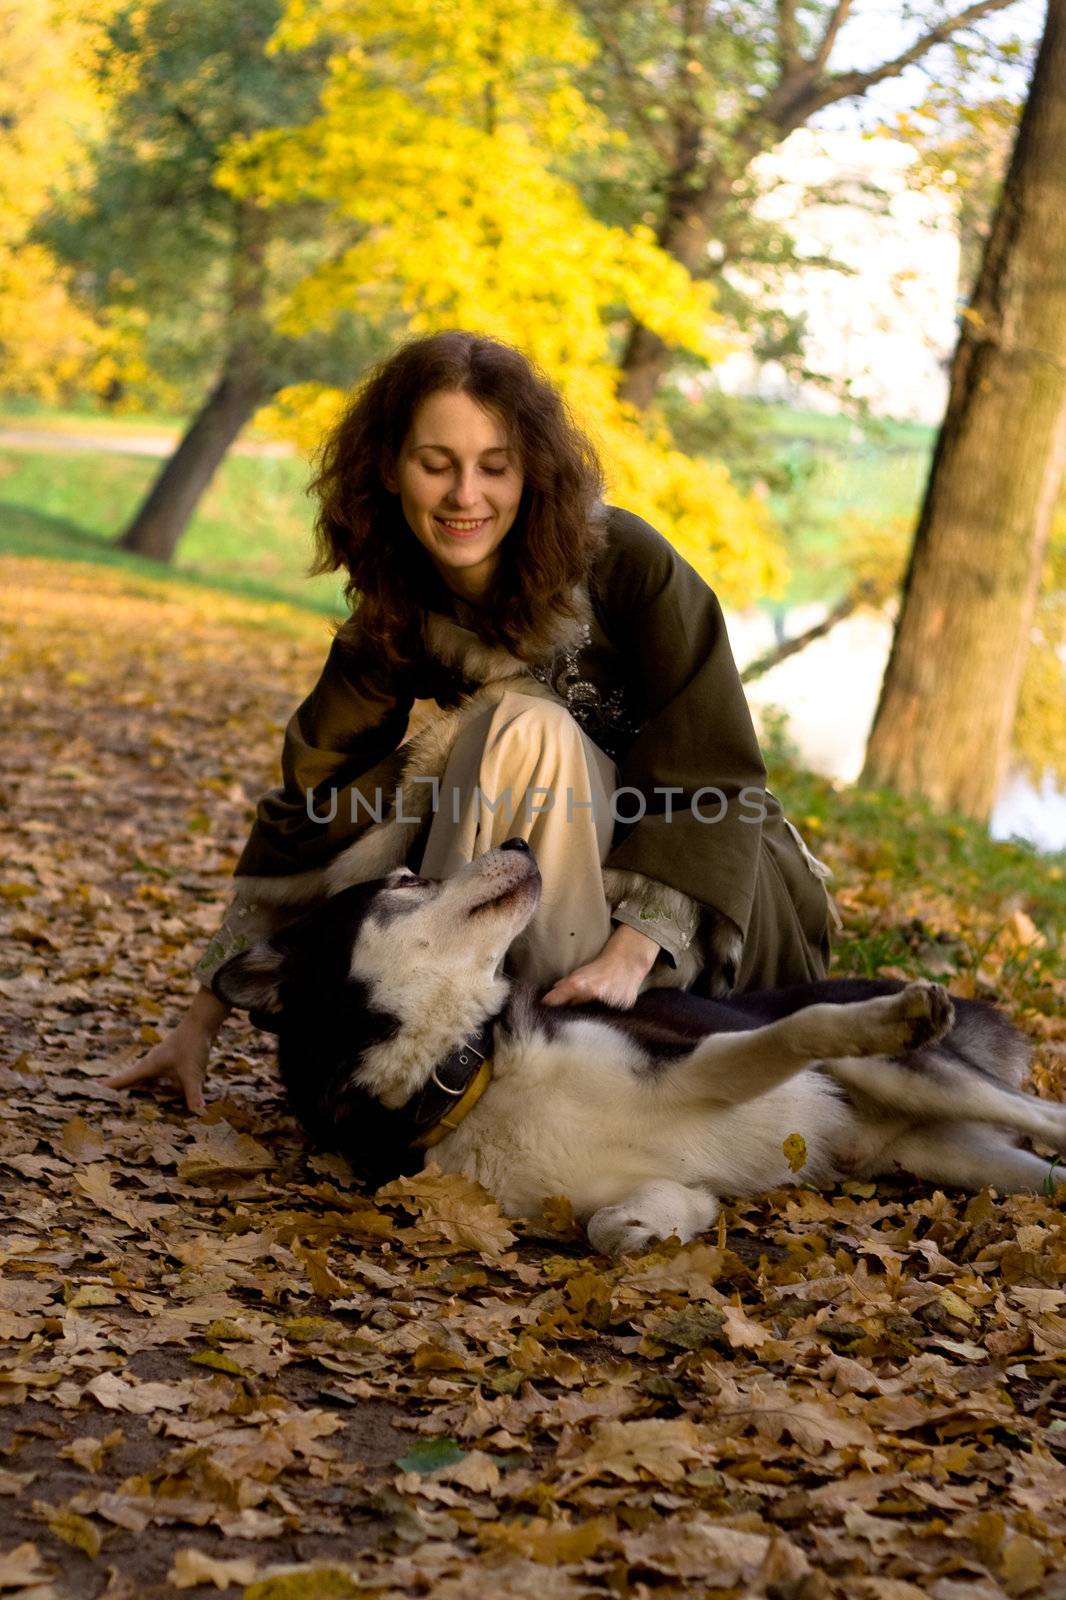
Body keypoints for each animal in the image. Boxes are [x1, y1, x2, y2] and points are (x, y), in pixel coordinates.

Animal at [211, 838, 1056, 1248]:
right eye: (404, 881)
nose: (519, 837)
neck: (467, 1077)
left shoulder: (704, 1060)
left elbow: (798, 1033)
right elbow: (610, 1224)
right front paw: (663, 1225)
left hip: (916, 1079)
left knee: (1048, 1116)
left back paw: (904, 1012)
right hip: (957, 1161)